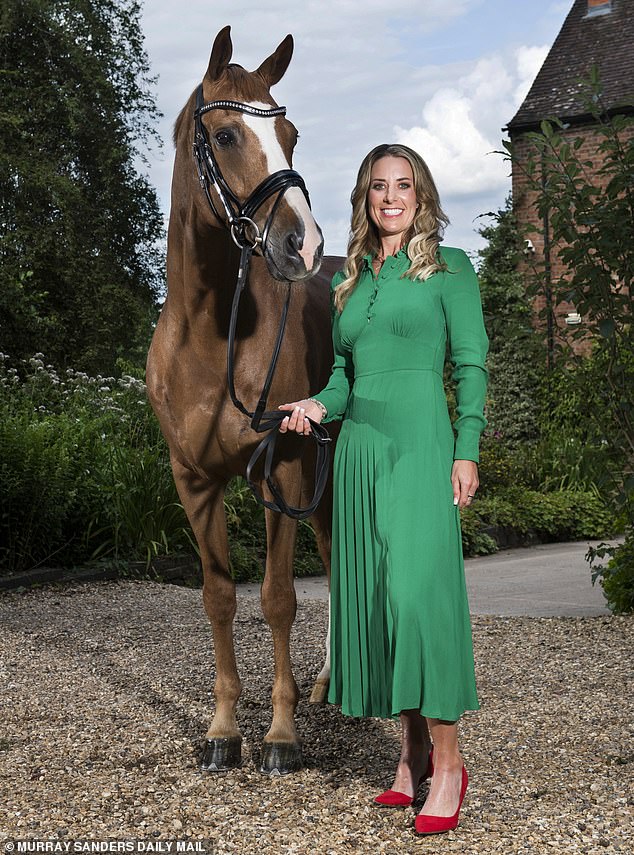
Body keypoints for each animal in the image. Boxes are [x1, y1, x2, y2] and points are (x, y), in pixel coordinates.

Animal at [148, 26, 338, 776]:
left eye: (290, 132)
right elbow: (221, 598)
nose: (303, 244)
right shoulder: (193, 482)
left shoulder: (277, 468)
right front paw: (224, 729)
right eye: (226, 135)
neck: (210, 333)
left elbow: (279, 599)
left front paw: (281, 736)